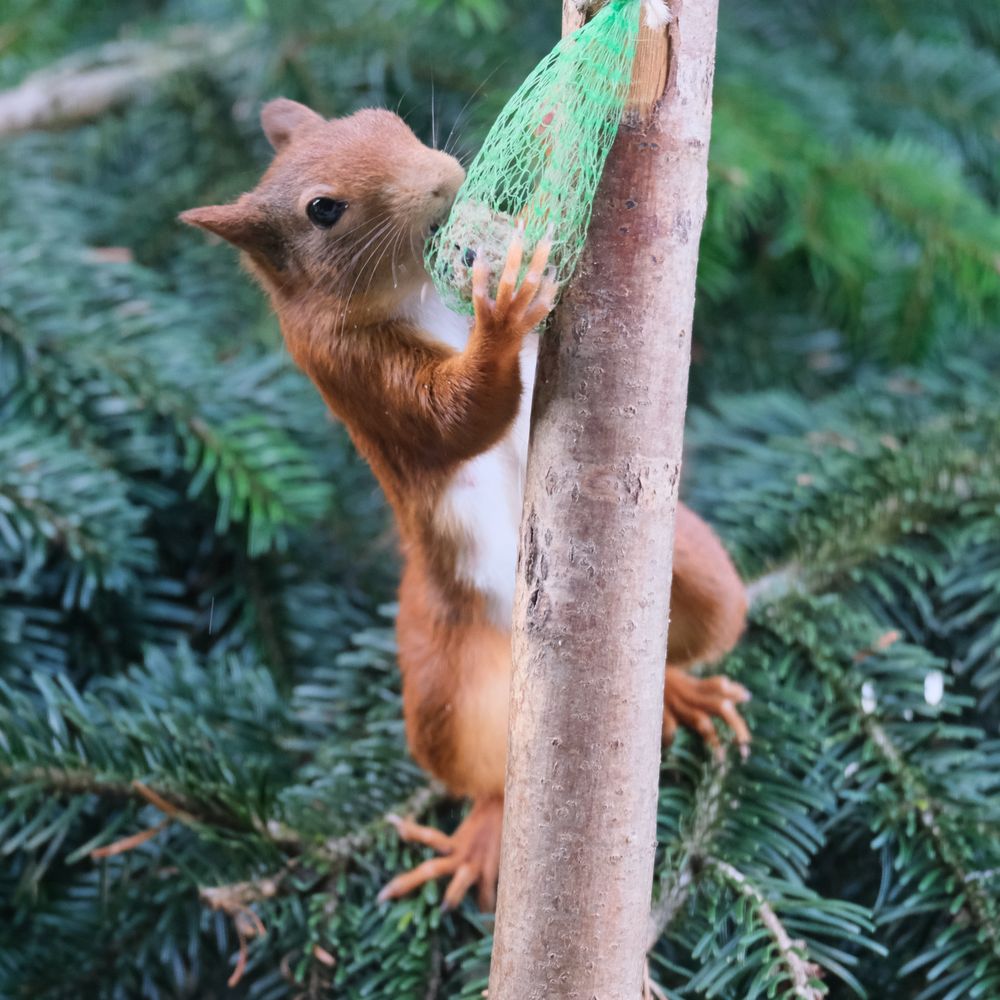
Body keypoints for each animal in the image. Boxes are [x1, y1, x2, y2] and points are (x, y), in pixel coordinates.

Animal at [184, 97, 752, 912]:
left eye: (385, 120)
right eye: (323, 210)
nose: (444, 176)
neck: (418, 288)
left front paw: (555, 126)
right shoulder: (350, 368)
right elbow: (452, 420)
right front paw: (503, 314)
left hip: (697, 579)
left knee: (694, 630)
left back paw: (677, 692)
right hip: (443, 684)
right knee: (484, 777)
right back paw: (480, 834)